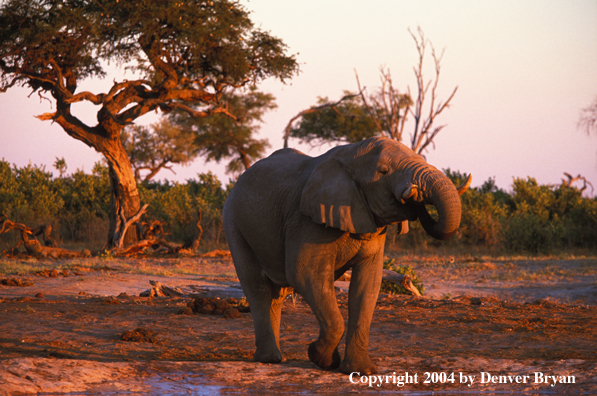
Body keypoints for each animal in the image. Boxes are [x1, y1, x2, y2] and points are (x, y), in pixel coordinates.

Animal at [224, 136, 470, 374]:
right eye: (383, 171)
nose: (414, 195)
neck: (351, 154)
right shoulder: (306, 220)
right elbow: (305, 274)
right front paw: (321, 359)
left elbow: (368, 284)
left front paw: (361, 372)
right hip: (234, 224)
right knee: (257, 286)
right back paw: (269, 359)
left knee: (277, 293)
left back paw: (275, 358)